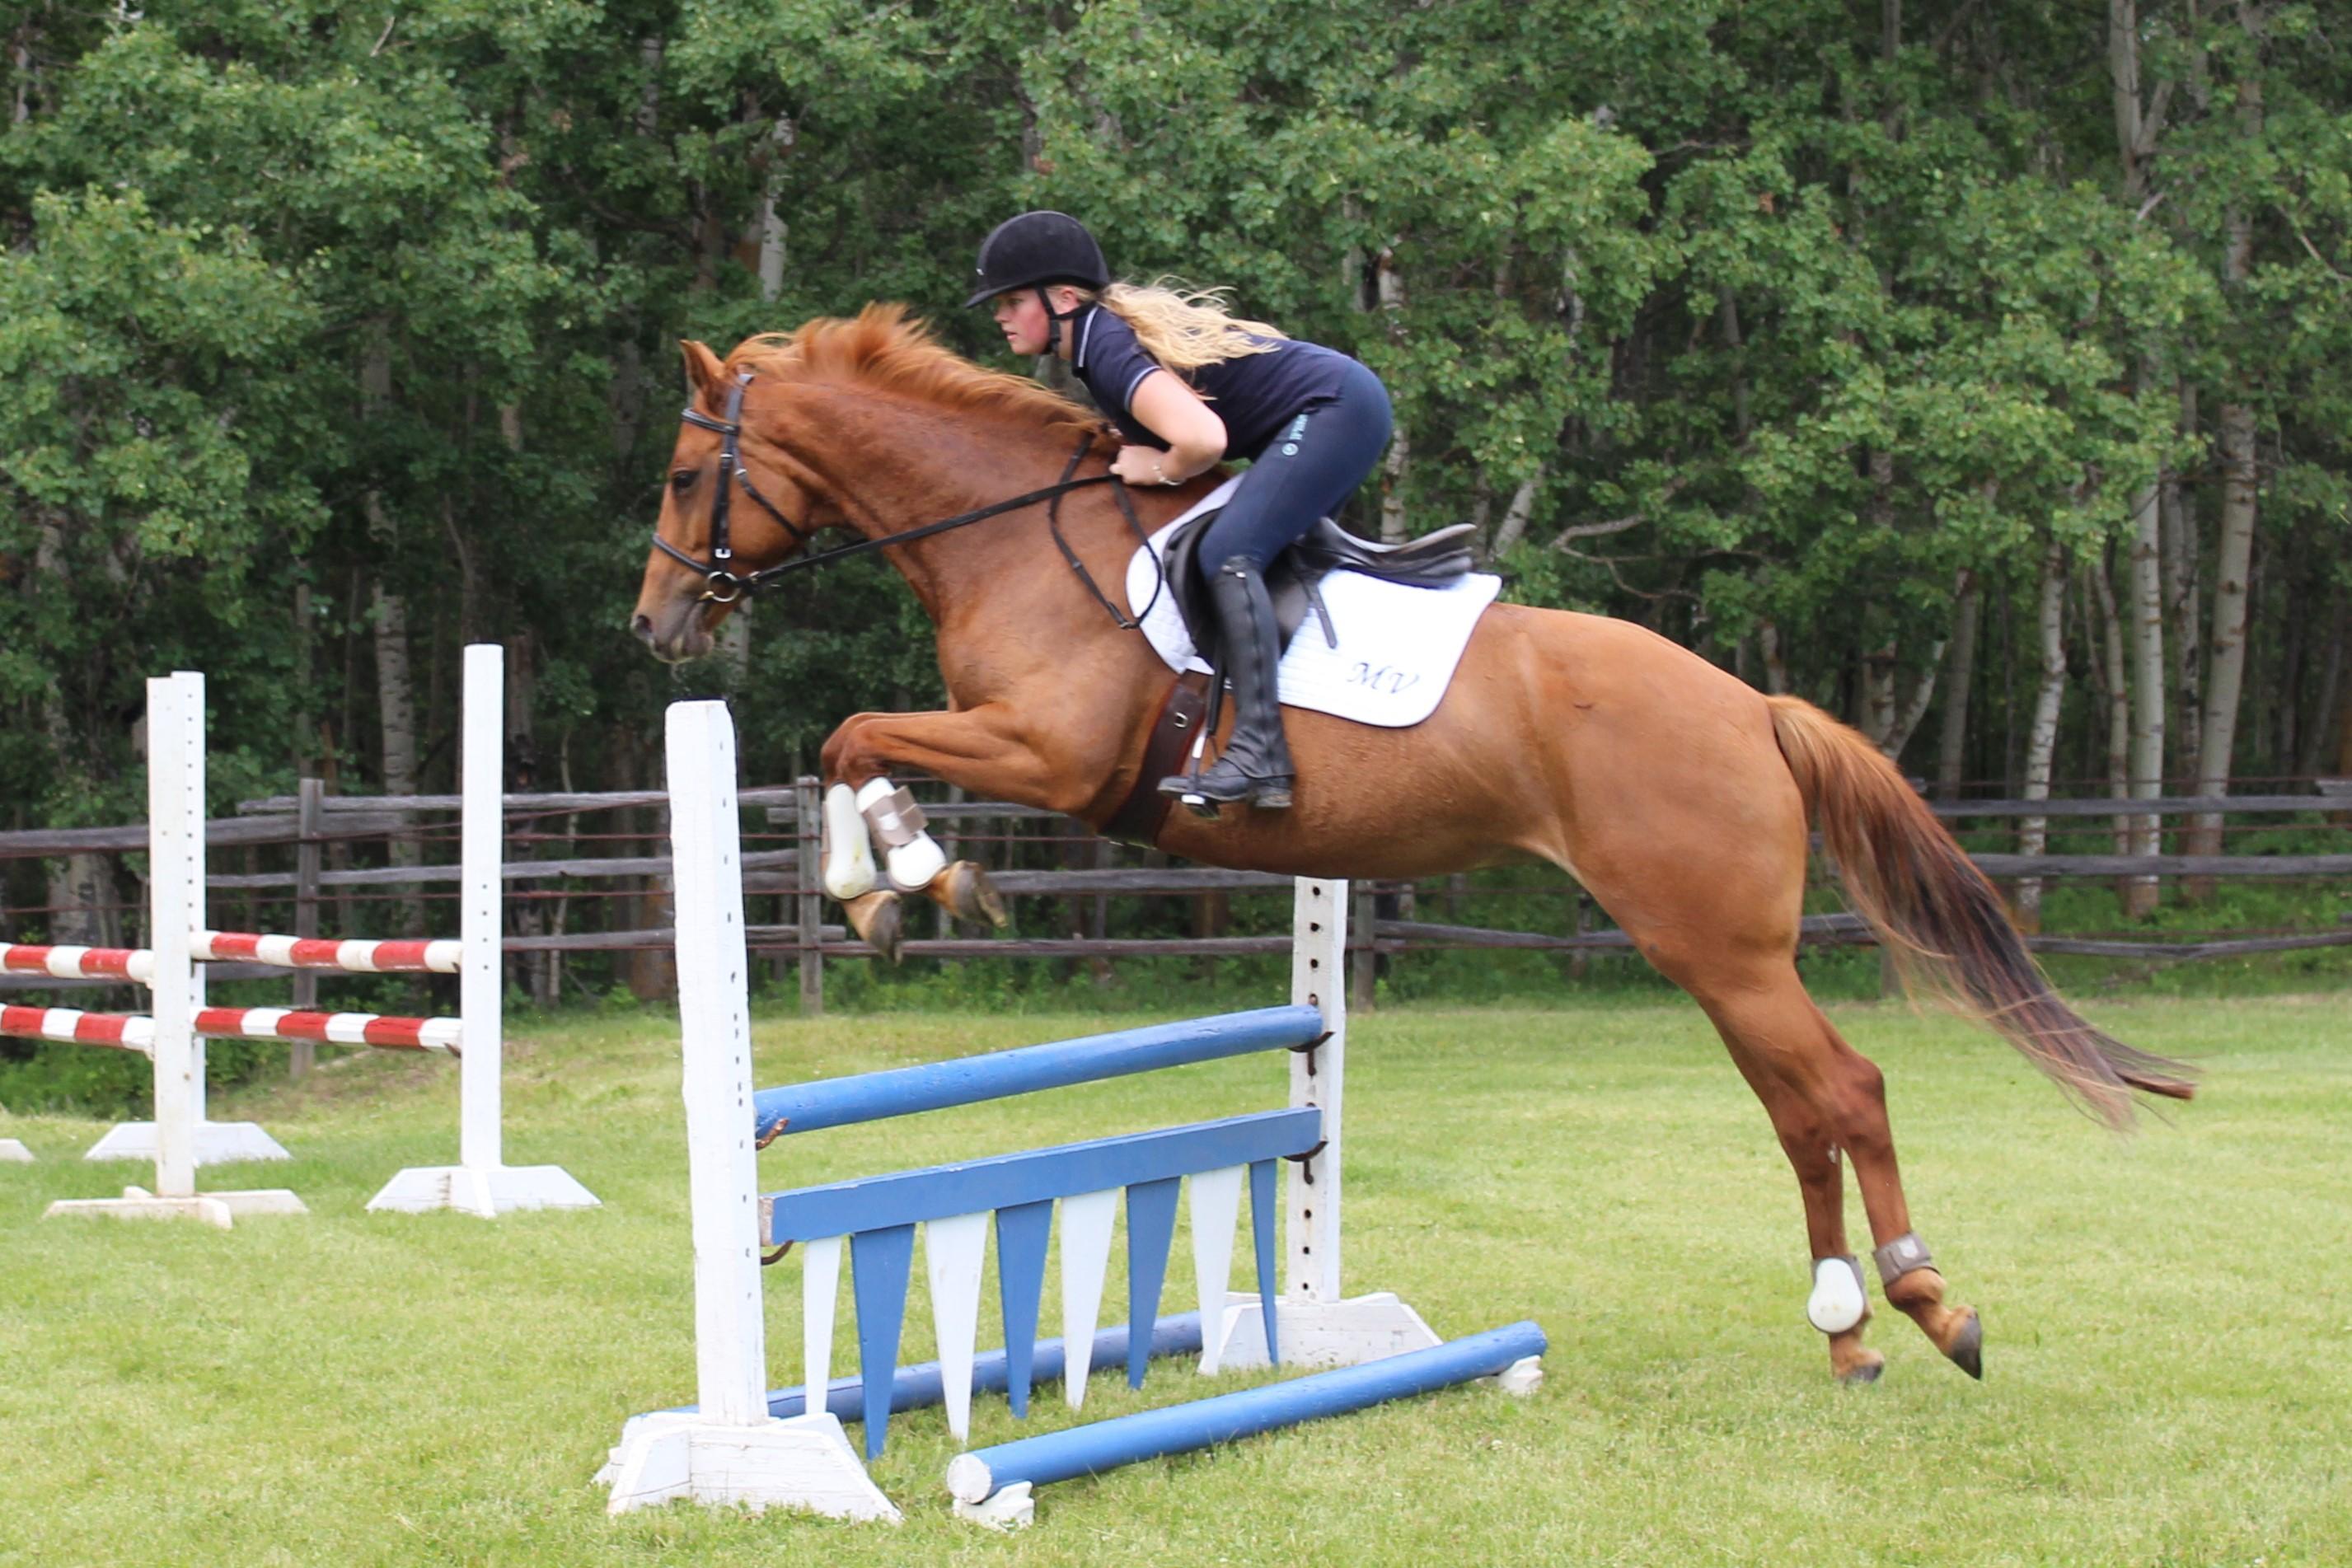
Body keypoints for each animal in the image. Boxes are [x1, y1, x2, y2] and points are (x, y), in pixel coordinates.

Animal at [630, 304, 2193, 1387]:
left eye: (683, 471)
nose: (655, 626)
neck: (1012, 534)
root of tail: (1750, 705)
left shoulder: (1052, 754)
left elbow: (851, 735)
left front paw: (898, 880)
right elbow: (851, 737)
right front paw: (892, 888)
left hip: (1717, 941)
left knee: (1841, 1089)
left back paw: (1928, 1303)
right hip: (1708, 950)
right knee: (1797, 1106)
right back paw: (1848, 1328)